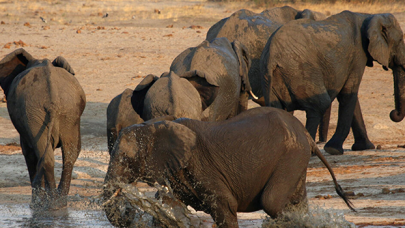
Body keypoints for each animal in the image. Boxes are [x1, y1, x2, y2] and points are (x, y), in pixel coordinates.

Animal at [0, 49, 86, 209]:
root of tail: (53, 100)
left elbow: (28, 152)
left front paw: (37, 202)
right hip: (69, 112)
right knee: (70, 153)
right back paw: (59, 202)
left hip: (34, 114)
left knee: (44, 156)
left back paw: (47, 203)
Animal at [102, 107, 354, 228]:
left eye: (124, 158)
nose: (129, 211)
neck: (155, 124)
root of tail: (307, 136)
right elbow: (167, 210)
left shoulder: (202, 167)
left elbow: (226, 206)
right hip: (296, 159)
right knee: (296, 201)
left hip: (290, 156)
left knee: (272, 202)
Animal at [258, 11, 404, 156]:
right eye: (401, 40)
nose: (393, 113)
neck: (368, 16)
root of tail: (272, 56)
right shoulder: (358, 54)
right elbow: (348, 94)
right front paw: (333, 150)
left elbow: (351, 96)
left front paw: (364, 147)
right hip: (301, 70)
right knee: (319, 105)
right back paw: (310, 151)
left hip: (271, 76)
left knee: (279, 109)